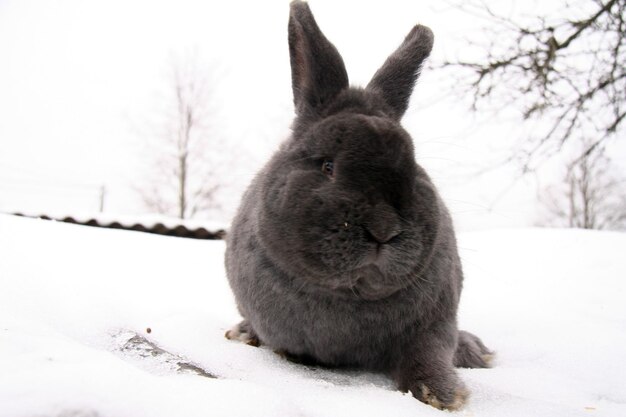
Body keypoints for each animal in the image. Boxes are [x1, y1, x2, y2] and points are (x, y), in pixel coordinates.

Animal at [222, 0, 490, 410]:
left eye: (414, 166)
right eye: (327, 166)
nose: (383, 229)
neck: (347, 295)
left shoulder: (435, 326)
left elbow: (427, 355)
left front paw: (444, 395)